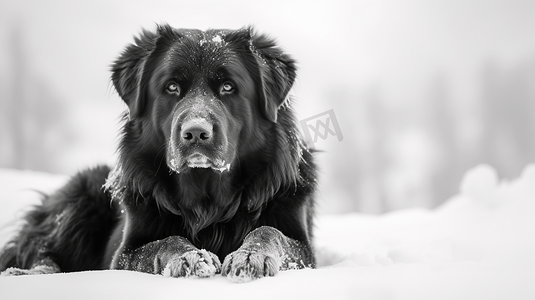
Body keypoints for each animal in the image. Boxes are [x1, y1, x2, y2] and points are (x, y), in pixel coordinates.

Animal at [0, 24, 316, 282]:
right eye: (172, 87)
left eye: (228, 87)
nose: (196, 132)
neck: (207, 200)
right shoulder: (125, 252)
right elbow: (164, 242)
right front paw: (191, 256)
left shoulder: (302, 245)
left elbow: (269, 232)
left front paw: (251, 255)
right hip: (79, 199)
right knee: (41, 251)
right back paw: (28, 273)